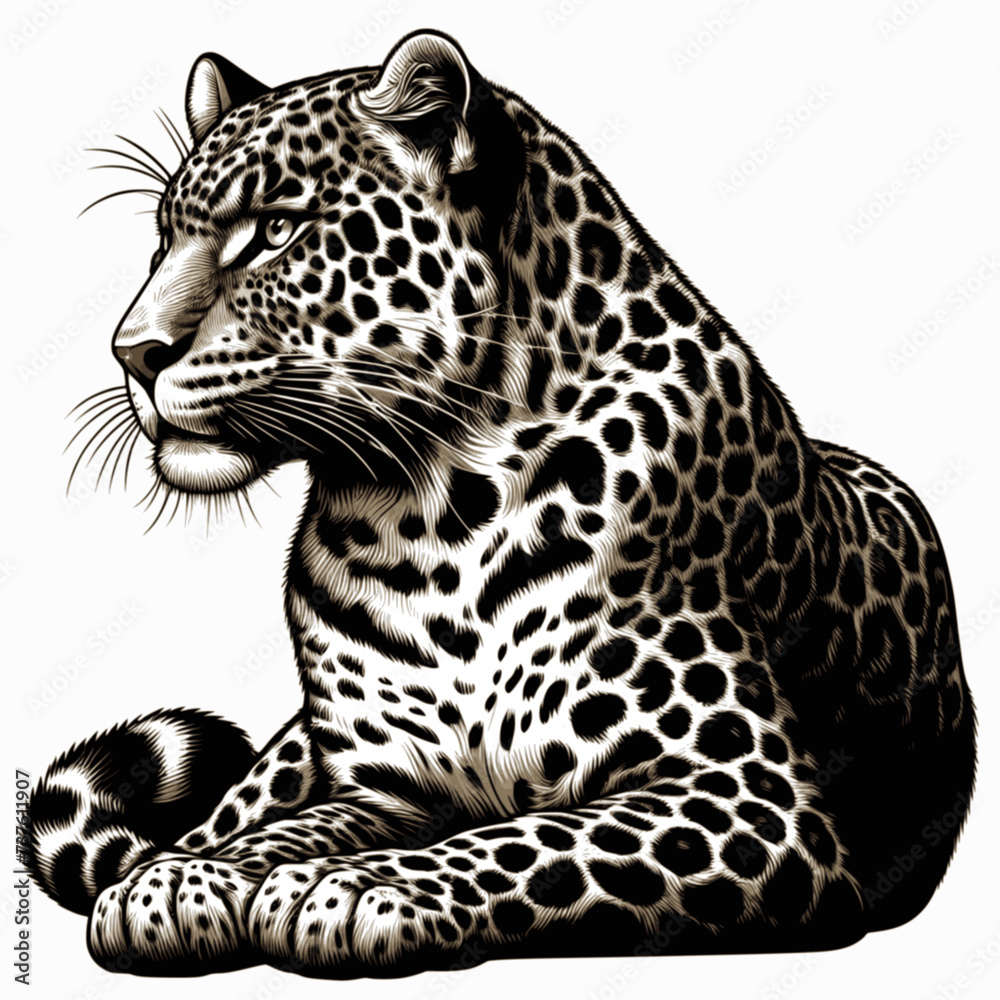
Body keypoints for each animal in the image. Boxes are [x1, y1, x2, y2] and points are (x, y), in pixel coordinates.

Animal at [26, 29, 976, 978]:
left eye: (276, 231)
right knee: (225, 815)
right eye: (161, 245)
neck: (419, 513)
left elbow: (532, 839)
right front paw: (191, 882)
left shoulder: (748, 797)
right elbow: (288, 831)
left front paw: (365, 886)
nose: (132, 352)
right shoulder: (381, 789)